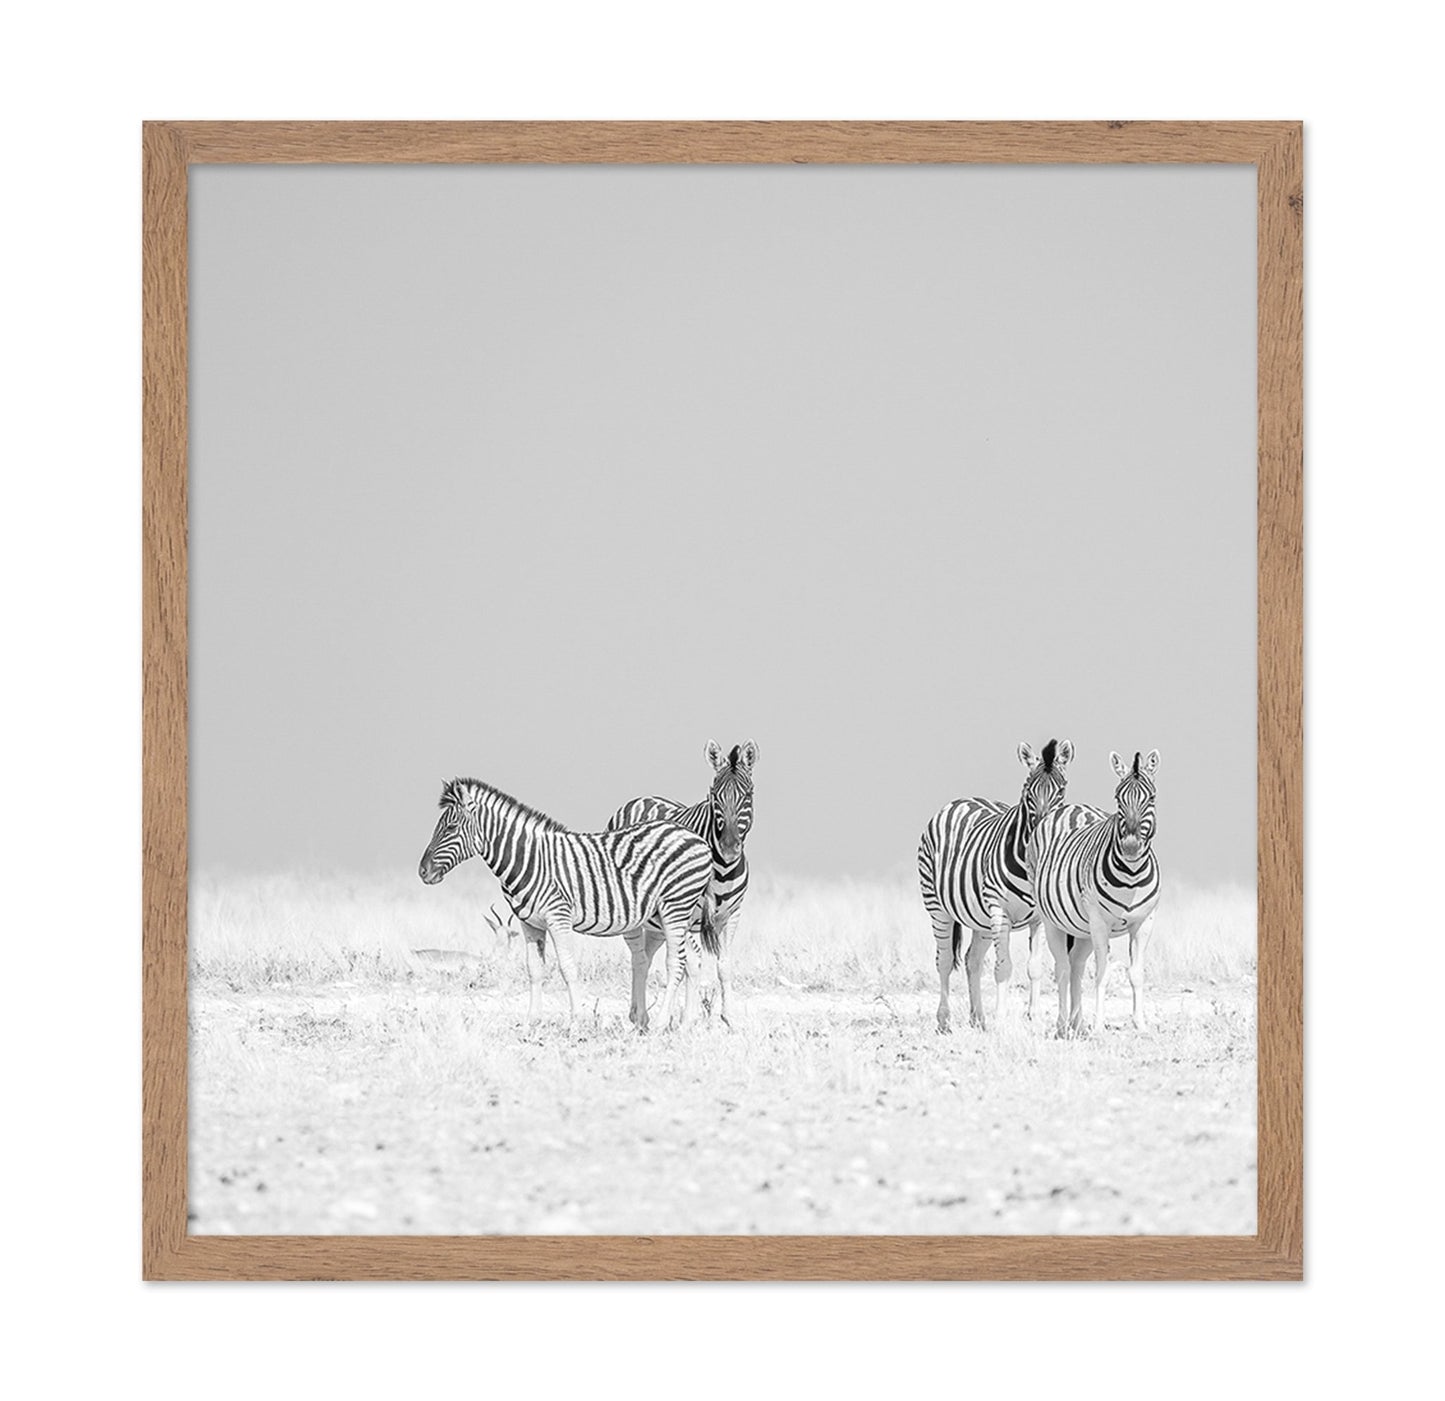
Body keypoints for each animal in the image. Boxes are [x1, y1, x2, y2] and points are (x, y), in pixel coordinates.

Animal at [417, 777, 713, 1031]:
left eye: (450, 828)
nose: (422, 871)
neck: (530, 860)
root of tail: (697, 838)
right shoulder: (529, 923)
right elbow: (535, 971)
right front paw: (531, 1021)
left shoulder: (558, 917)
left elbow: (567, 968)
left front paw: (575, 1022)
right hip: (674, 915)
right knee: (693, 961)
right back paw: (686, 1025)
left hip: (675, 906)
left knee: (676, 962)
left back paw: (661, 1024)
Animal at [606, 739, 757, 1028]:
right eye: (714, 796)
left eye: (748, 795)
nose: (729, 848)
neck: (722, 869)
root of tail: (641, 798)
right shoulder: (687, 914)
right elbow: (692, 965)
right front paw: (688, 1020)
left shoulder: (733, 915)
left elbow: (723, 965)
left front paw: (729, 1018)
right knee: (639, 957)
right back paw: (640, 1017)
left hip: (657, 921)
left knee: (648, 954)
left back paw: (639, 1014)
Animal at [917, 738, 1074, 1032]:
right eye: (1028, 790)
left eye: (1062, 789)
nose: (1041, 832)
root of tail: (961, 800)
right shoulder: (999, 910)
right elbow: (1003, 968)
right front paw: (1001, 1021)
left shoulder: (1040, 918)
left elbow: (1034, 968)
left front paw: (1034, 1016)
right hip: (938, 907)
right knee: (944, 961)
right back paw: (944, 1021)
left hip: (980, 918)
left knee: (972, 960)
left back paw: (978, 1018)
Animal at [1031, 749, 1162, 1035]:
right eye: (1117, 798)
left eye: (1152, 797)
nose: (1131, 847)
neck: (1132, 875)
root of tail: (1071, 807)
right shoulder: (1101, 923)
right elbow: (1102, 973)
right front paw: (1100, 1025)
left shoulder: (1144, 922)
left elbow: (1136, 973)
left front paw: (1140, 1023)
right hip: (1053, 921)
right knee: (1063, 967)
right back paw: (1062, 1024)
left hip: (1082, 929)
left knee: (1076, 965)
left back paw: (1077, 1023)